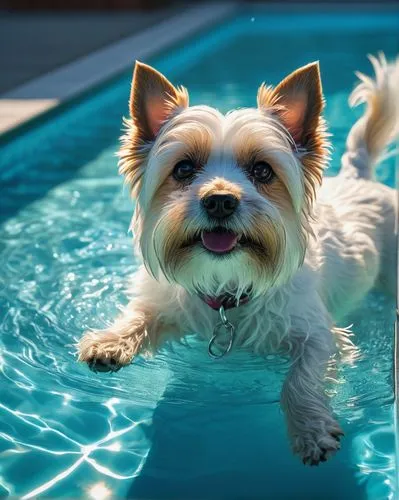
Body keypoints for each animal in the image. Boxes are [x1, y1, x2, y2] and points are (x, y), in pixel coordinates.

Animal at [77, 54, 396, 464]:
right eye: (183, 168)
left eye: (262, 170)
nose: (219, 200)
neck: (227, 281)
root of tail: (359, 177)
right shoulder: (167, 301)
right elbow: (139, 314)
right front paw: (111, 341)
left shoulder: (316, 334)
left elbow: (299, 380)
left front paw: (310, 429)